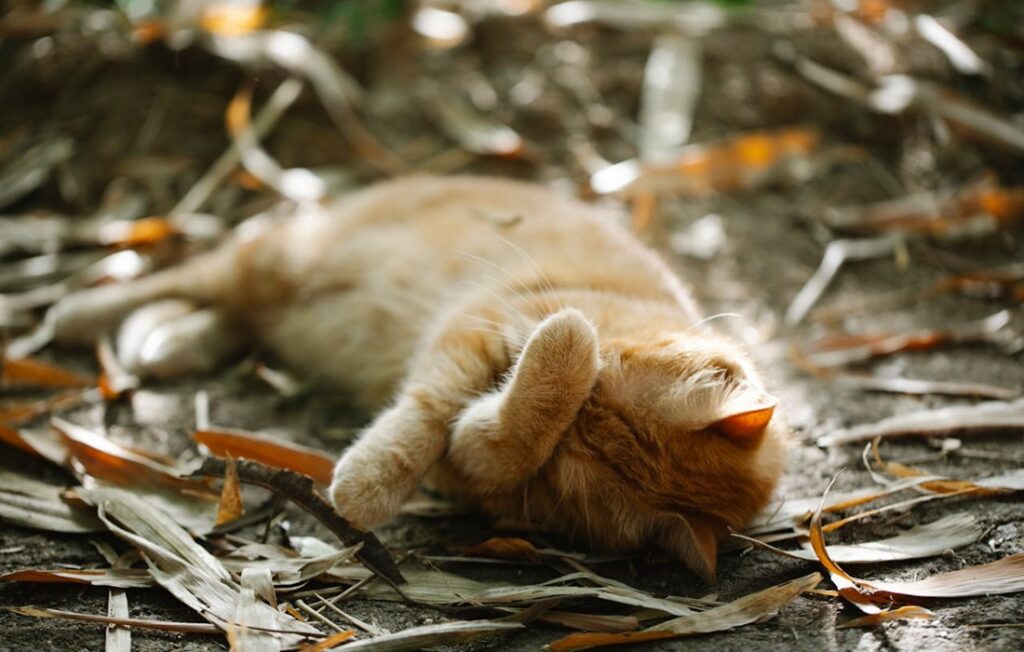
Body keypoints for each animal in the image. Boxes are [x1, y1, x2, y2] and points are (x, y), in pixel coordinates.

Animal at [49, 174, 790, 581]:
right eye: (594, 397)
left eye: (570, 464)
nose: (547, 354)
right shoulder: (477, 326)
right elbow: (434, 406)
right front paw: (367, 484)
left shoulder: (475, 467)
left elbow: (486, 440)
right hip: (275, 259)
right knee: (186, 278)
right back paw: (84, 313)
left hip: (276, 298)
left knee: (234, 319)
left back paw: (164, 339)